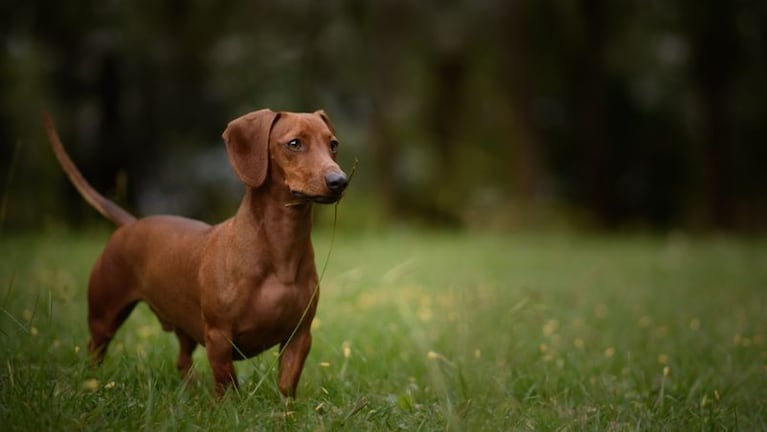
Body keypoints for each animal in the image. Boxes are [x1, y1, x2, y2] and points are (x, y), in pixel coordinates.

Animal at [43, 109, 350, 396]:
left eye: (333, 144)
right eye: (294, 143)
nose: (339, 181)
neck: (280, 249)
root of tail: (130, 224)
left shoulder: (299, 336)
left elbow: (287, 385)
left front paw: (285, 411)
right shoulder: (218, 335)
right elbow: (227, 382)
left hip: (184, 326)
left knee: (182, 361)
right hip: (103, 317)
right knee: (95, 349)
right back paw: (92, 383)